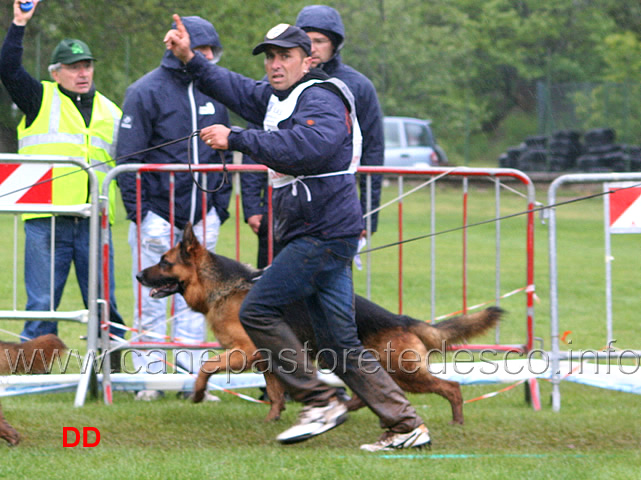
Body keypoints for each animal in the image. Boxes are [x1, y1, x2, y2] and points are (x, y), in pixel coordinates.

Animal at [138, 224, 502, 424]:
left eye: (164, 262)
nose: (138, 275)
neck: (226, 286)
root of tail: (402, 319)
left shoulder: (245, 352)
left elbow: (206, 366)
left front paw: (198, 393)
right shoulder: (268, 359)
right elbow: (275, 393)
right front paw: (272, 419)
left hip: (404, 372)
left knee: (451, 387)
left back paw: (456, 421)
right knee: (374, 394)